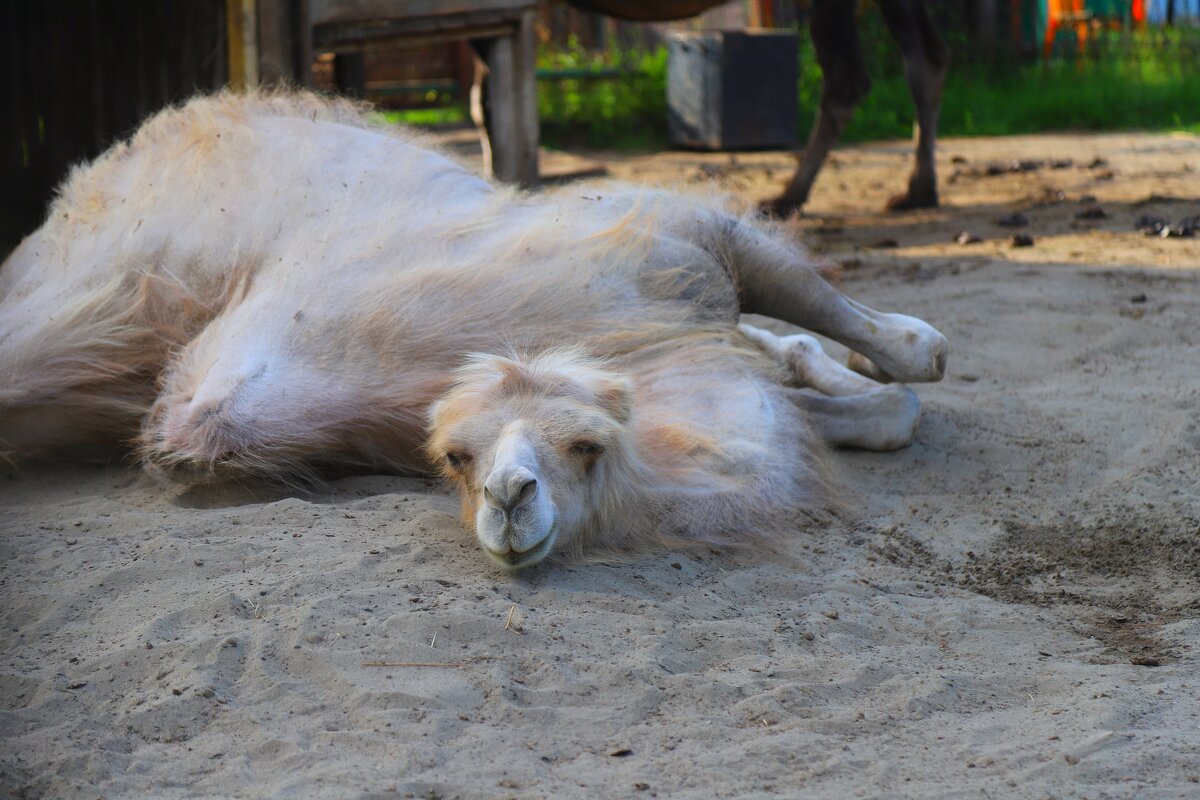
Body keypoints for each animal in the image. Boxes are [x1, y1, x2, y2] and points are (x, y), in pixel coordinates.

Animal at [0, 92, 945, 568]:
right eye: (453, 459)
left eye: (583, 450)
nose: (508, 503)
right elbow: (883, 388)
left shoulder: (691, 246)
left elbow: (889, 362)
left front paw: (893, 355)